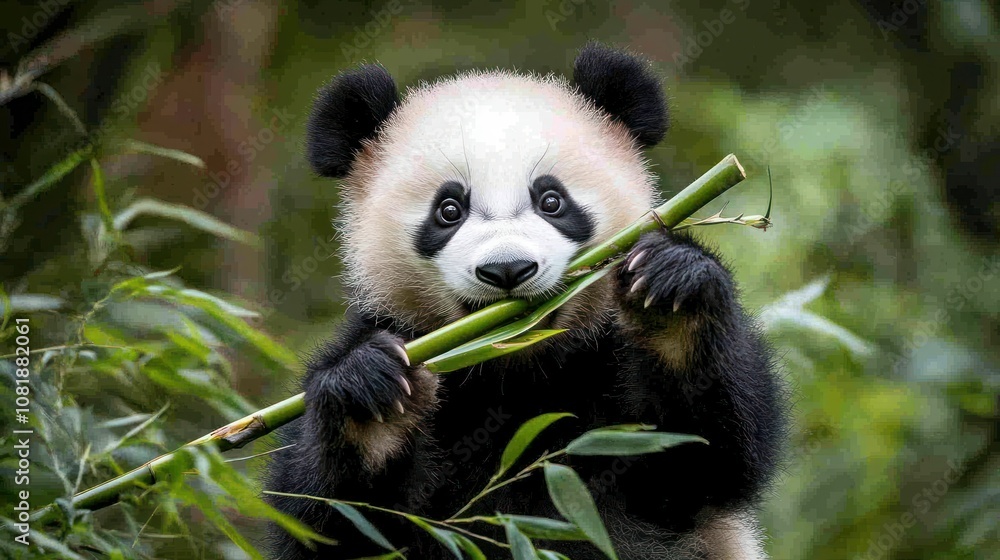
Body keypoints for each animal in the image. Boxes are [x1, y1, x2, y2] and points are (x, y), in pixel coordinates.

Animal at [265, 43, 787, 560]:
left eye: (551, 200)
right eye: (448, 210)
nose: (508, 270)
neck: (516, 366)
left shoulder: (604, 379)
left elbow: (710, 453)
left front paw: (671, 297)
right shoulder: (392, 332)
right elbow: (332, 522)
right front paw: (371, 401)